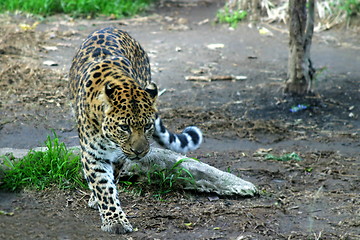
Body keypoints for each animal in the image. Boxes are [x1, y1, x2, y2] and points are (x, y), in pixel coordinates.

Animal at [68, 27, 202, 233]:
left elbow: (111, 179)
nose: (139, 152)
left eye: (147, 126)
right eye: (124, 127)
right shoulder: (93, 154)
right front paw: (114, 220)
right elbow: (103, 187)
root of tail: (112, 27)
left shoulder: (119, 156)